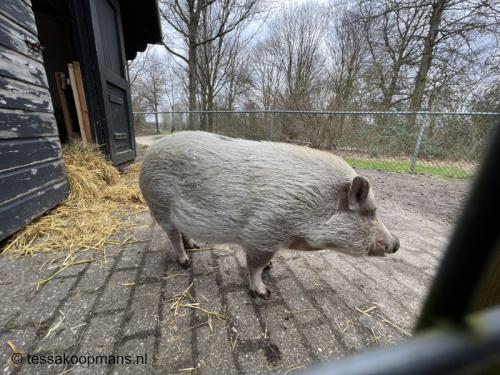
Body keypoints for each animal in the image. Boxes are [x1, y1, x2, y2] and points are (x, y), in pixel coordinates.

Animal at [140, 131, 398, 300]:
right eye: (370, 213)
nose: (396, 243)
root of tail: (151, 152)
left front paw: (271, 268)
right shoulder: (262, 233)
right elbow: (254, 266)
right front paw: (264, 293)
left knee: (181, 232)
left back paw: (195, 246)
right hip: (159, 204)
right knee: (173, 237)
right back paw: (185, 262)